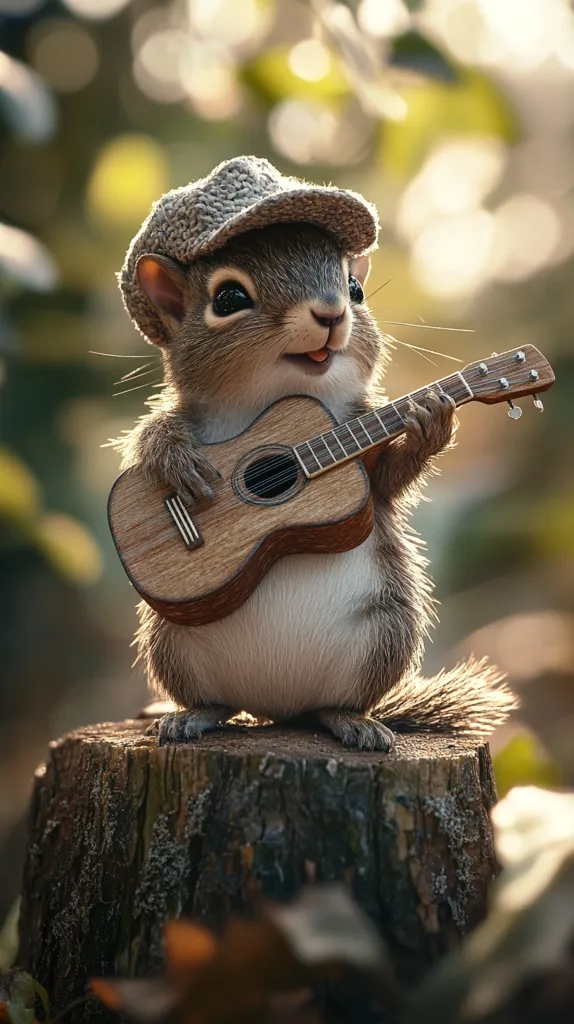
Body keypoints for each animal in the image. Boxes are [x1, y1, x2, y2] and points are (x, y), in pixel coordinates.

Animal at [113, 156, 516, 751]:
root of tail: (275, 710)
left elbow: (386, 486)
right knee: (216, 700)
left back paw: (354, 721)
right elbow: (150, 438)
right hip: (171, 639)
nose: (331, 312)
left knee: (332, 705)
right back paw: (194, 715)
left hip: (385, 634)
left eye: (355, 287)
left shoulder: (360, 443)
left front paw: (429, 423)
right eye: (228, 299)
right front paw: (177, 461)